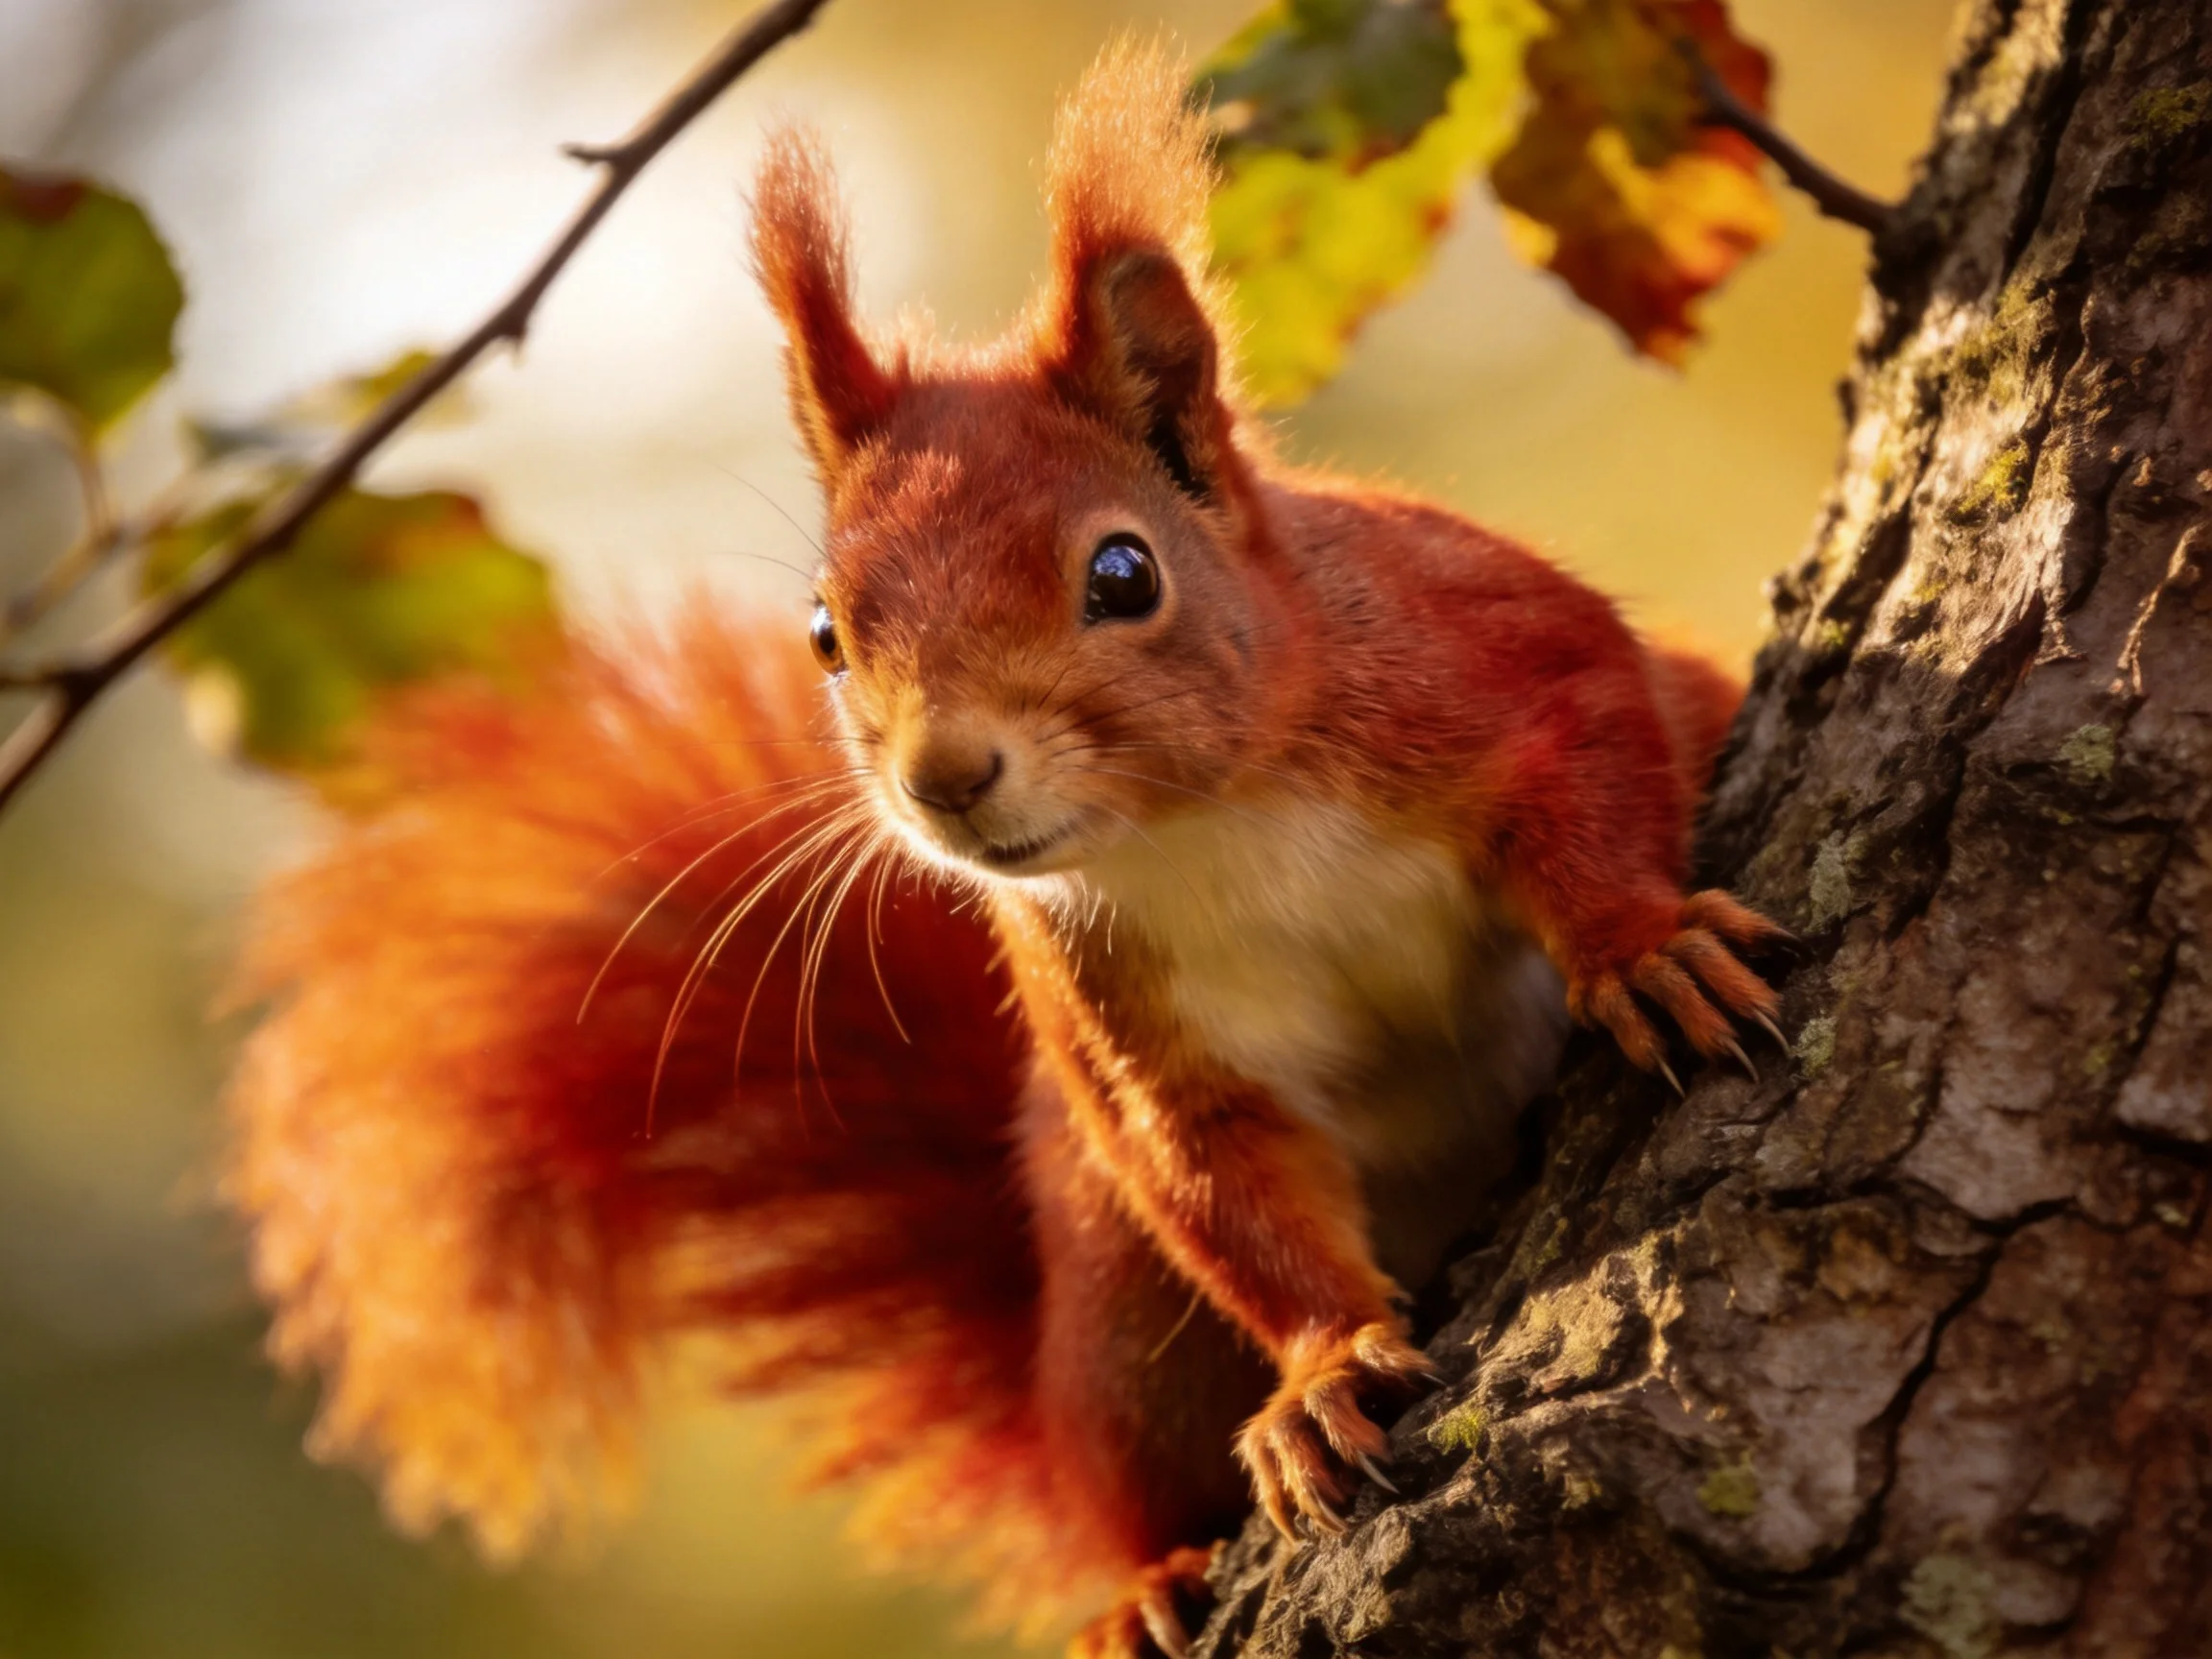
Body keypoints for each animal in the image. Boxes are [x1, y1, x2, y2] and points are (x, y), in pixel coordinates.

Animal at [222, 40, 1783, 1659]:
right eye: (825, 633)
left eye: (1126, 573)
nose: (945, 776)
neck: (1208, 827)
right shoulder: (1125, 1028)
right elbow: (1220, 1185)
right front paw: (1326, 1367)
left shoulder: (1489, 652)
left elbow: (1596, 740)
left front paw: (1642, 951)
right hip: (1111, 1308)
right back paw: (1143, 1582)